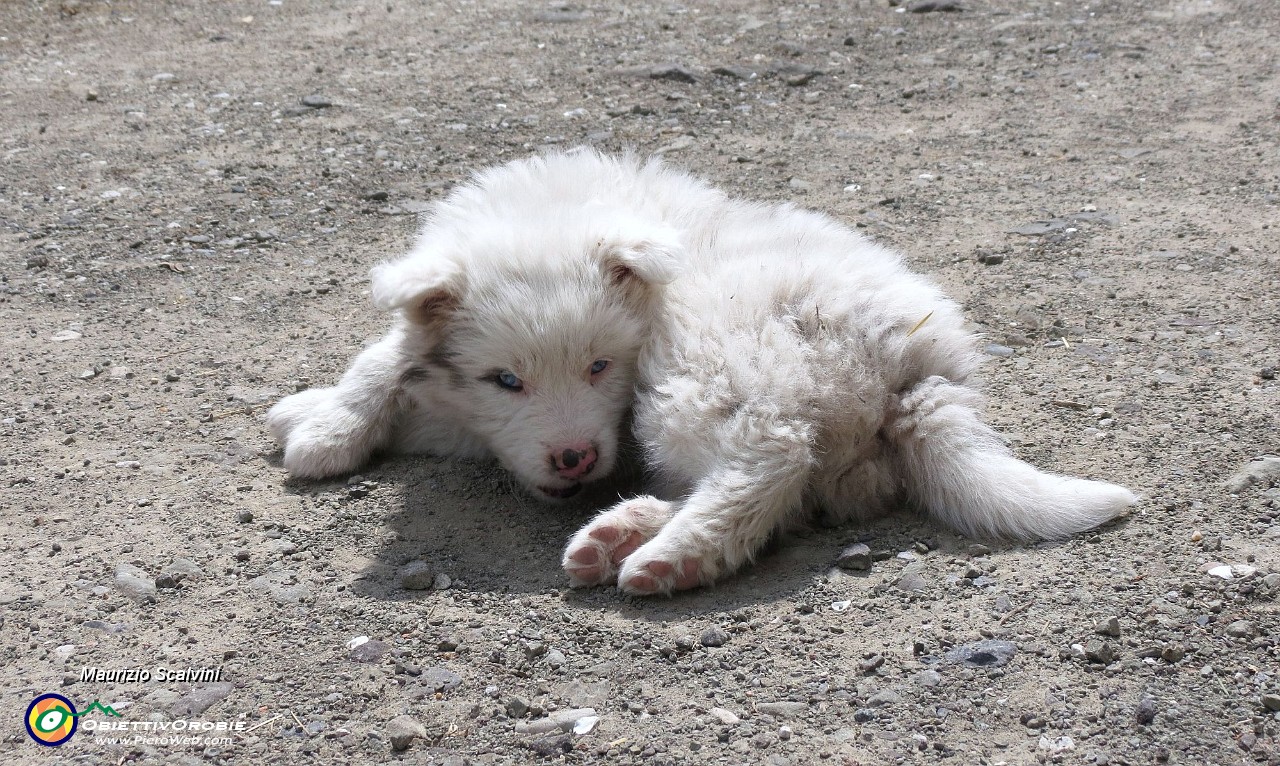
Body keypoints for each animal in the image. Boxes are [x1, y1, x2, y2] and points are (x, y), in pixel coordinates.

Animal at [267, 148, 1131, 594]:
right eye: (505, 381)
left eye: (600, 365)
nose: (574, 459)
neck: (548, 218)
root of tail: (922, 372)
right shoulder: (478, 417)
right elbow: (391, 360)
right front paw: (318, 415)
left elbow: (381, 353)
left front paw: (320, 428)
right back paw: (618, 534)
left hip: (713, 363)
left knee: (770, 456)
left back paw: (668, 556)